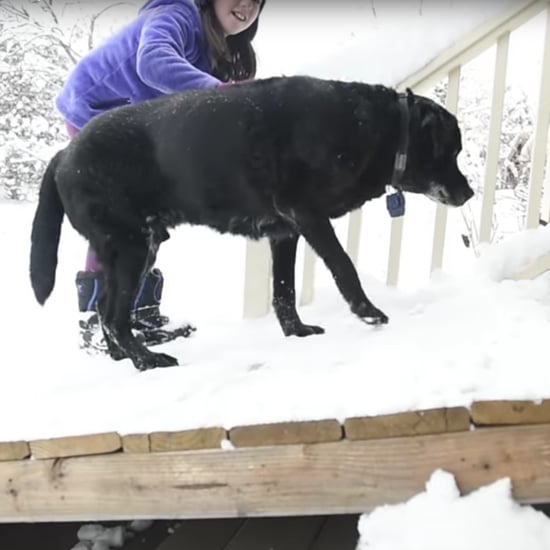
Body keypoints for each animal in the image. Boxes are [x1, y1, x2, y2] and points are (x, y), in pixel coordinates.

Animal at [30, 75, 476, 374]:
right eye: (451, 150)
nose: (470, 193)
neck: (369, 128)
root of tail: (63, 155)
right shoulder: (308, 216)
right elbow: (344, 267)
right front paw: (368, 313)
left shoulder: (286, 232)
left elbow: (284, 291)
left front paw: (297, 333)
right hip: (133, 245)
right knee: (113, 314)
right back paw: (146, 359)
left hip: (138, 246)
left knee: (104, 306)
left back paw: (123, 356)